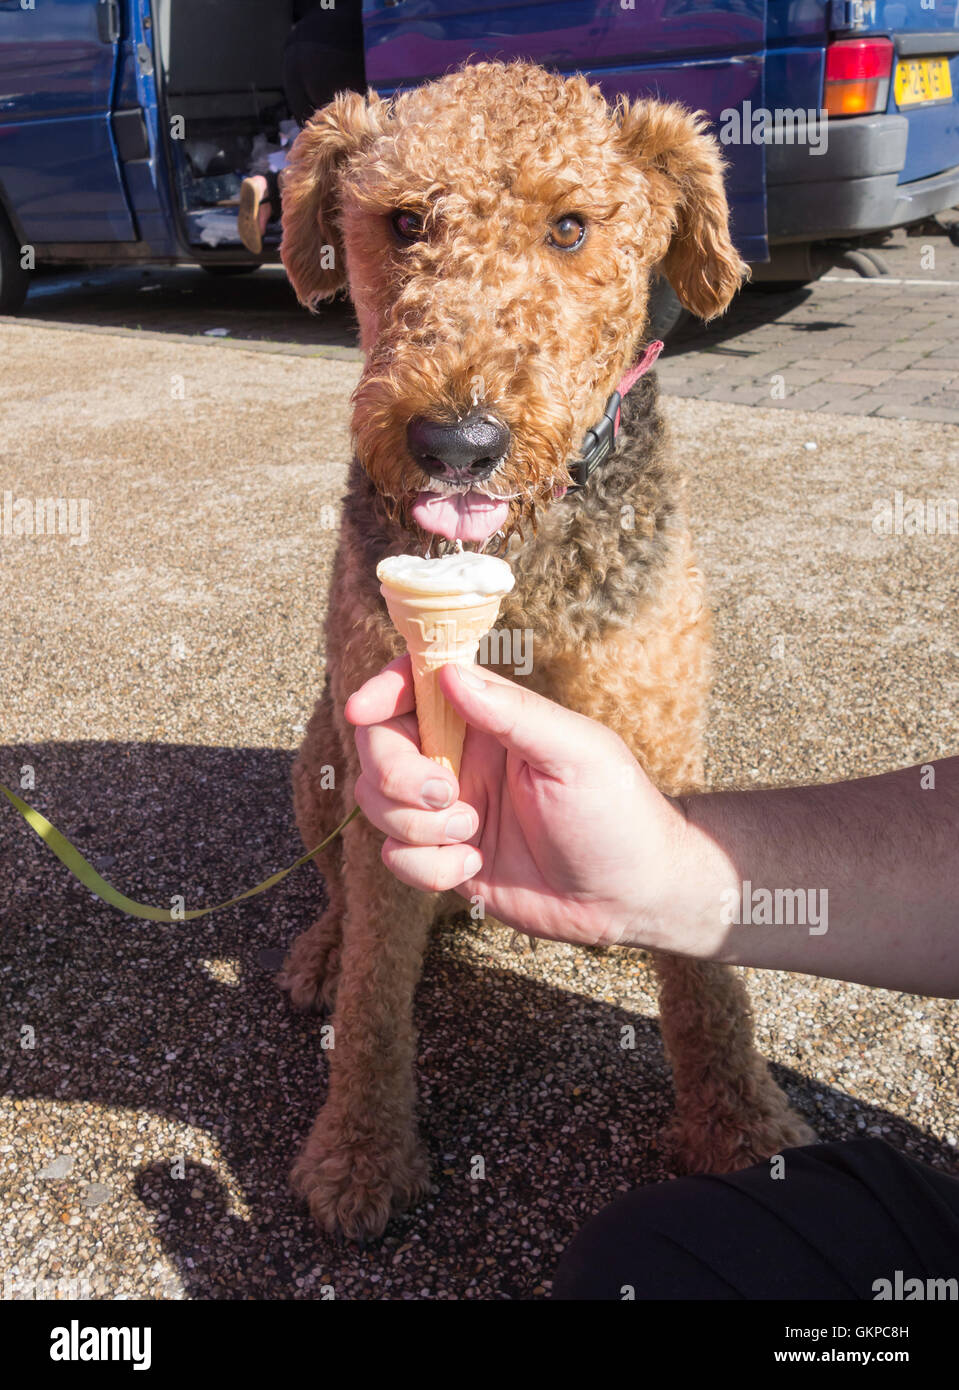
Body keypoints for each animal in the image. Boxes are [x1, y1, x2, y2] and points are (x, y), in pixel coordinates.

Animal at [276, 59, 811, 1245]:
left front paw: (742, 1130)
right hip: (318, 749)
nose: (455, 443)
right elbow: (377, 990)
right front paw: (357, 1156)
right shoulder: (385, 753)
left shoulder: (655, 733)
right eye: (403, 221)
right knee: (340, 894)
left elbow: (707, 988)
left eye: (570, 226)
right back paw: (322, 952)